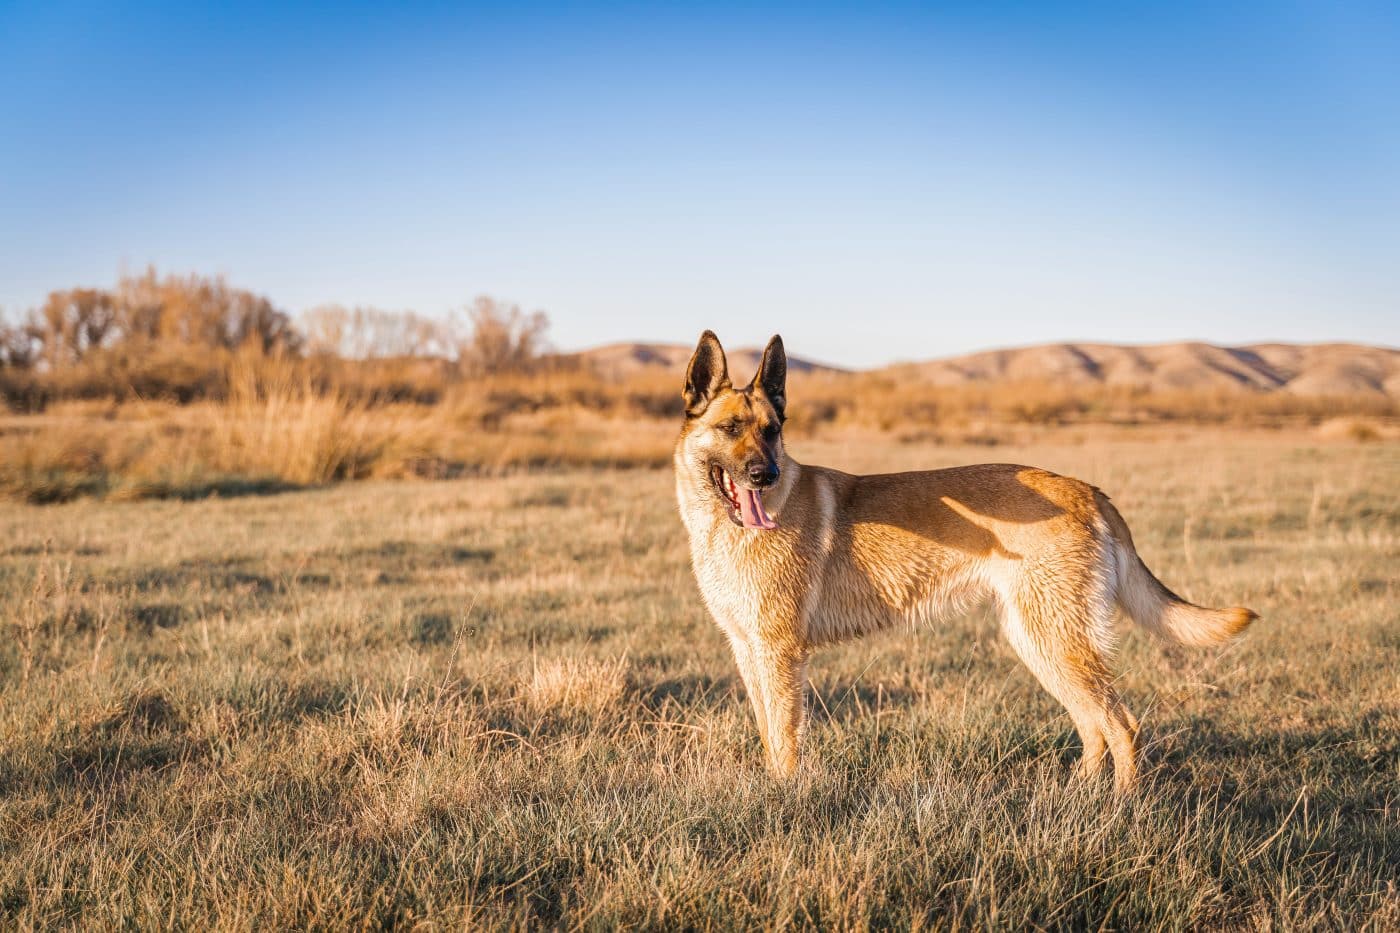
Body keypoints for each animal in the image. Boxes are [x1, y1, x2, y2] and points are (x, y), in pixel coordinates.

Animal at [672, 330, 1254, 790]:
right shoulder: (750, 652)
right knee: (1093, 725)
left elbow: (786, 740)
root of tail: (1087, 490)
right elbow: (769, 735)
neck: (725, 527)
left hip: (1056, 641)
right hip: (1039, 641)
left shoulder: (781, 655)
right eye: (730, 429)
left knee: (1121, 725)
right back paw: (1080, 798)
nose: (764, 475)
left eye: (772, 431)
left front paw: (788, 800)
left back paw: (1120, 808)